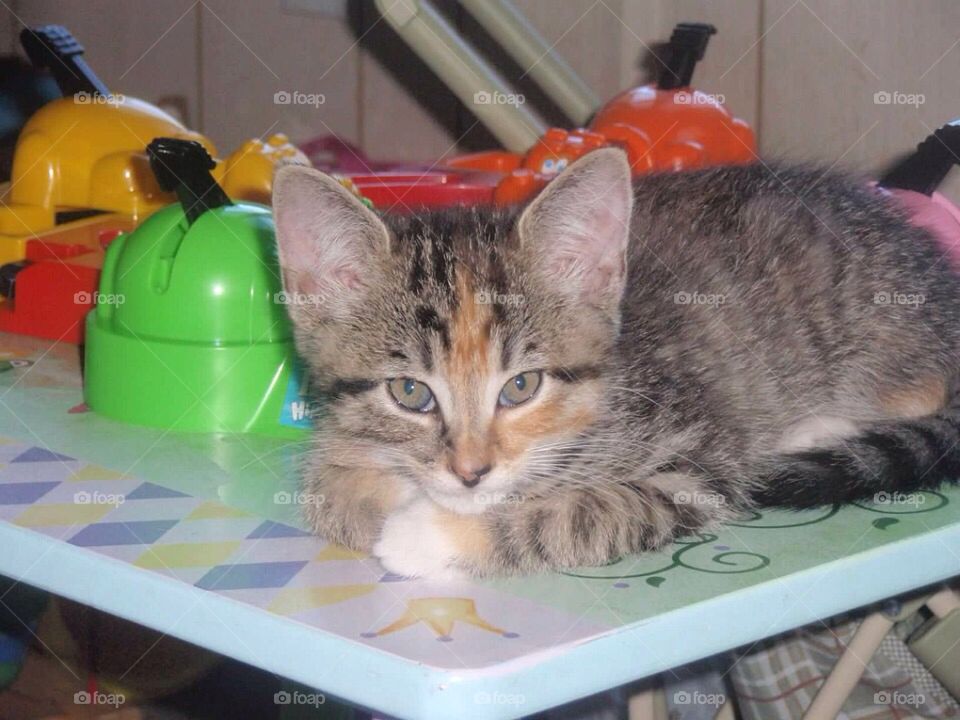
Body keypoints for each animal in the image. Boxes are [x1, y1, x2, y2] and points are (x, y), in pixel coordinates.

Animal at [270, 150, 960, 580]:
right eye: (410, 393)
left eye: (522, 386)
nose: (470, 473)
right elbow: (331, 489)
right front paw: (375, 494)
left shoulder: (700, 461)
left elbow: (582, 513)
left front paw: (426, 534)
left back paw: (820, 427)